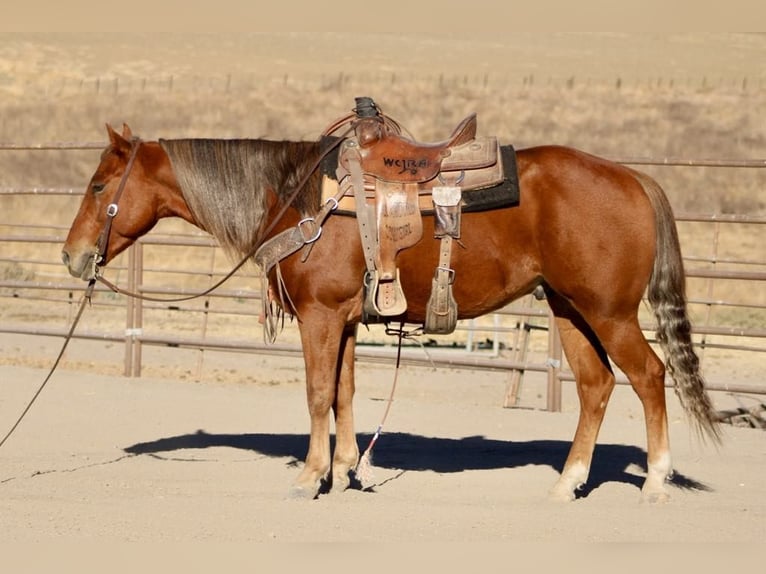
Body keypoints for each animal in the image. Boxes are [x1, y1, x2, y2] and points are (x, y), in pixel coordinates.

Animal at [61, 119, 721, 503]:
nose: (71, 256)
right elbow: (344, 394)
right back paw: (567, 482)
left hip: (609, 312)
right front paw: (346, 468)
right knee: (595, 385)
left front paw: (310, 477)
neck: (301, 197)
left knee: (649, 376)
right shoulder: (346, 321)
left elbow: (316, 394)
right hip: (569, 309)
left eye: (99, 186)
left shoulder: (321, 317)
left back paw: (655, 483)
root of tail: (634, 179)